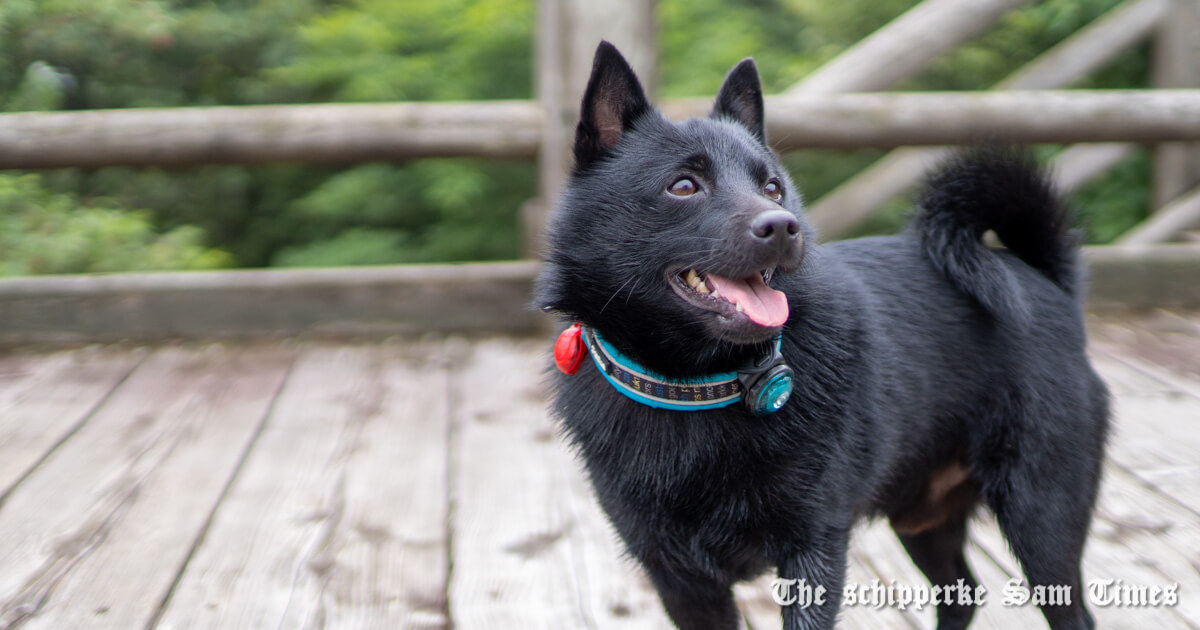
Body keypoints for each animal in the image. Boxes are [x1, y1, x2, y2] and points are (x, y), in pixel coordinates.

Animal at [540, 41, 1108, 624]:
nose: (780, 226)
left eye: (772, 187)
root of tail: (1045, 279)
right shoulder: (680, 580)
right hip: (922, 517)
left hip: (1041, 515)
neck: (698, 386)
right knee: (963, 595)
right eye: (683, 186)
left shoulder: (813, 551)